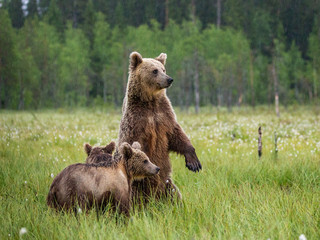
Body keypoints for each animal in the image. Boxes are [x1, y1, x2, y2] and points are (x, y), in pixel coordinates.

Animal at [117, 51, 202, 200]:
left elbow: (177, 135)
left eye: (164, 69)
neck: (150, 102)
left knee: (174, 193)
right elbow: (134, 143)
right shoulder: (136, 122)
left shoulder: (164, 116)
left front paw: (193, 163)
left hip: (167, 183)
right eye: (154, 70)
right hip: (135, 187)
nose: (169, 79)